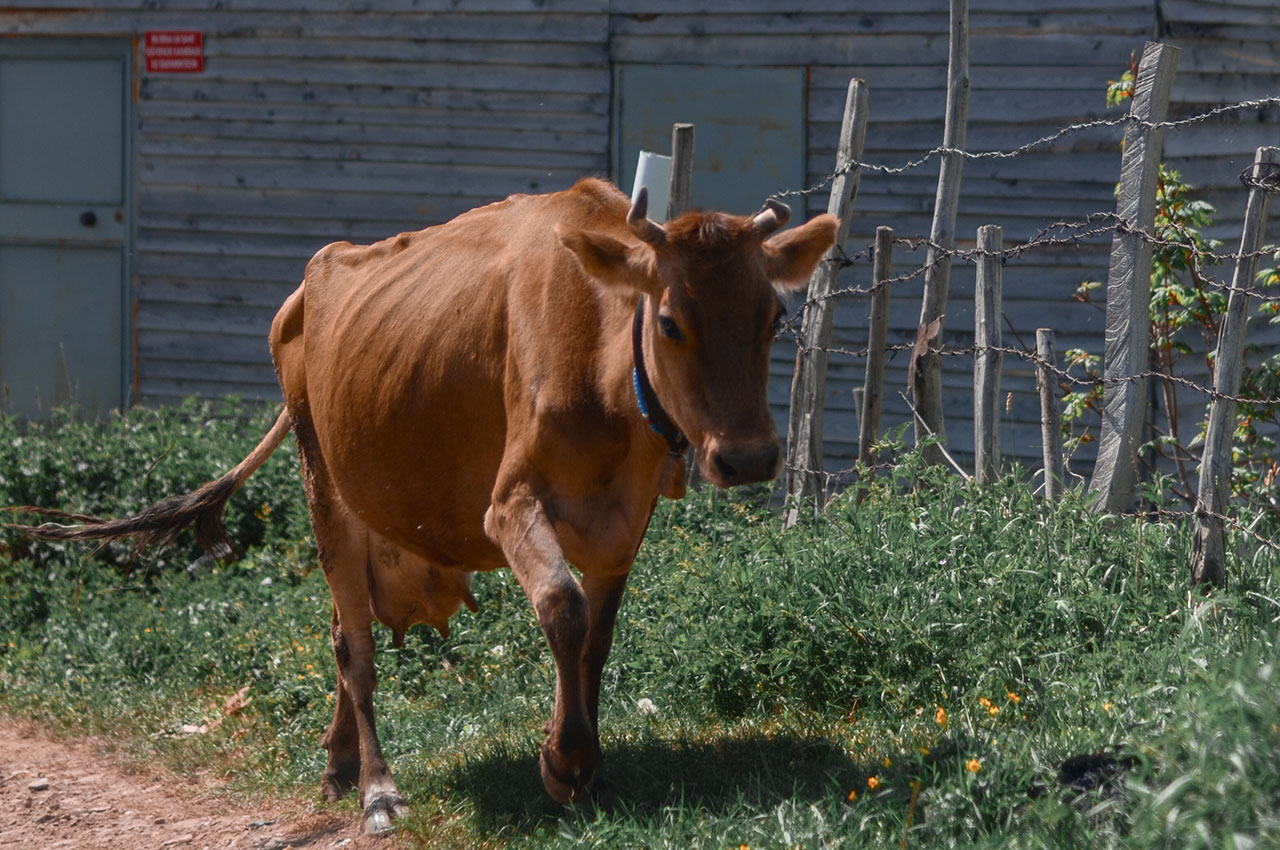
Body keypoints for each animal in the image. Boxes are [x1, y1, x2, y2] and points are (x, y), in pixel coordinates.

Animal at [20, 179, 844, 834]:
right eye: (671, 322)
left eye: (774, 319)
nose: (749, 458)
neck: (603, 364)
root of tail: (309, 284)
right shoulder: (508, 505)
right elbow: (562, 607)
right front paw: (565, 762)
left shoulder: (626, 519)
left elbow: (597, 638)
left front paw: (592, 764)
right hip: (323, 484)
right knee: (355, 648)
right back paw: (378, 790)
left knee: (339, 630)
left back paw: (339, 765)